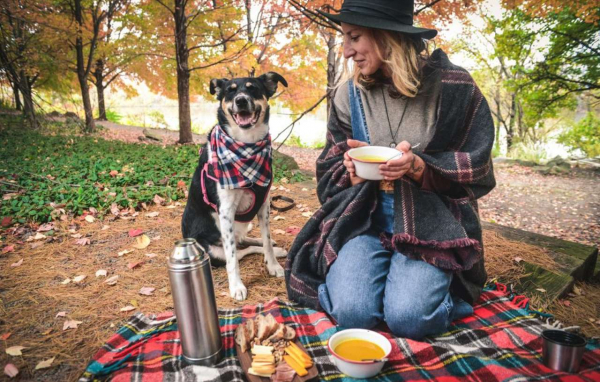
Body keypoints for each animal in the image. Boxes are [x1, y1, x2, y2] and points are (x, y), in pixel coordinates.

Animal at [180, 72, 288, 302]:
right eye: (230, 91)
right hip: (212, 250)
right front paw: (236, 286)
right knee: (238, 252)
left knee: (245, 241)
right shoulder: (226, 211)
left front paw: (273, 265)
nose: (241, 100)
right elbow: (232, 259)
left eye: (253, 88)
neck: (246, 146)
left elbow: (266, 240)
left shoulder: (264, 205)